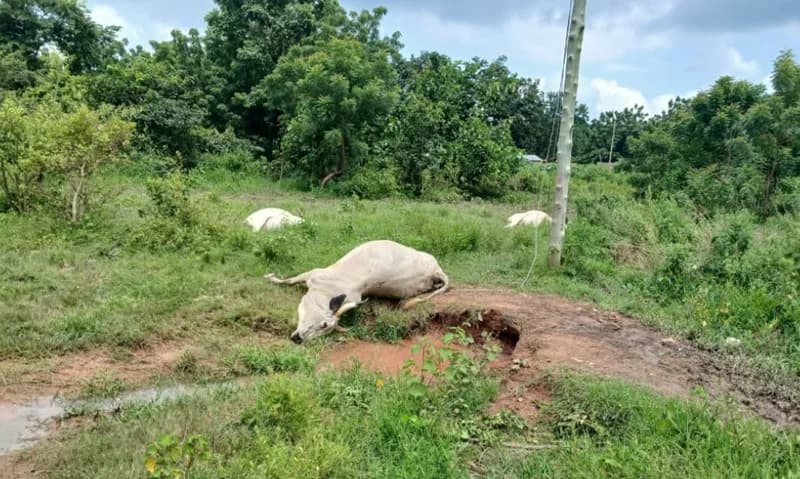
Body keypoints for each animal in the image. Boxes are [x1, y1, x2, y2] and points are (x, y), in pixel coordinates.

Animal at [264, 240, 450, 344]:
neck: (326, 292)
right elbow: (289, 280)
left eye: (325, 328)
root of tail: (436, 270)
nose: (298, 339)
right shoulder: (313, 274)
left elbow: (289, 280)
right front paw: (270, 277)